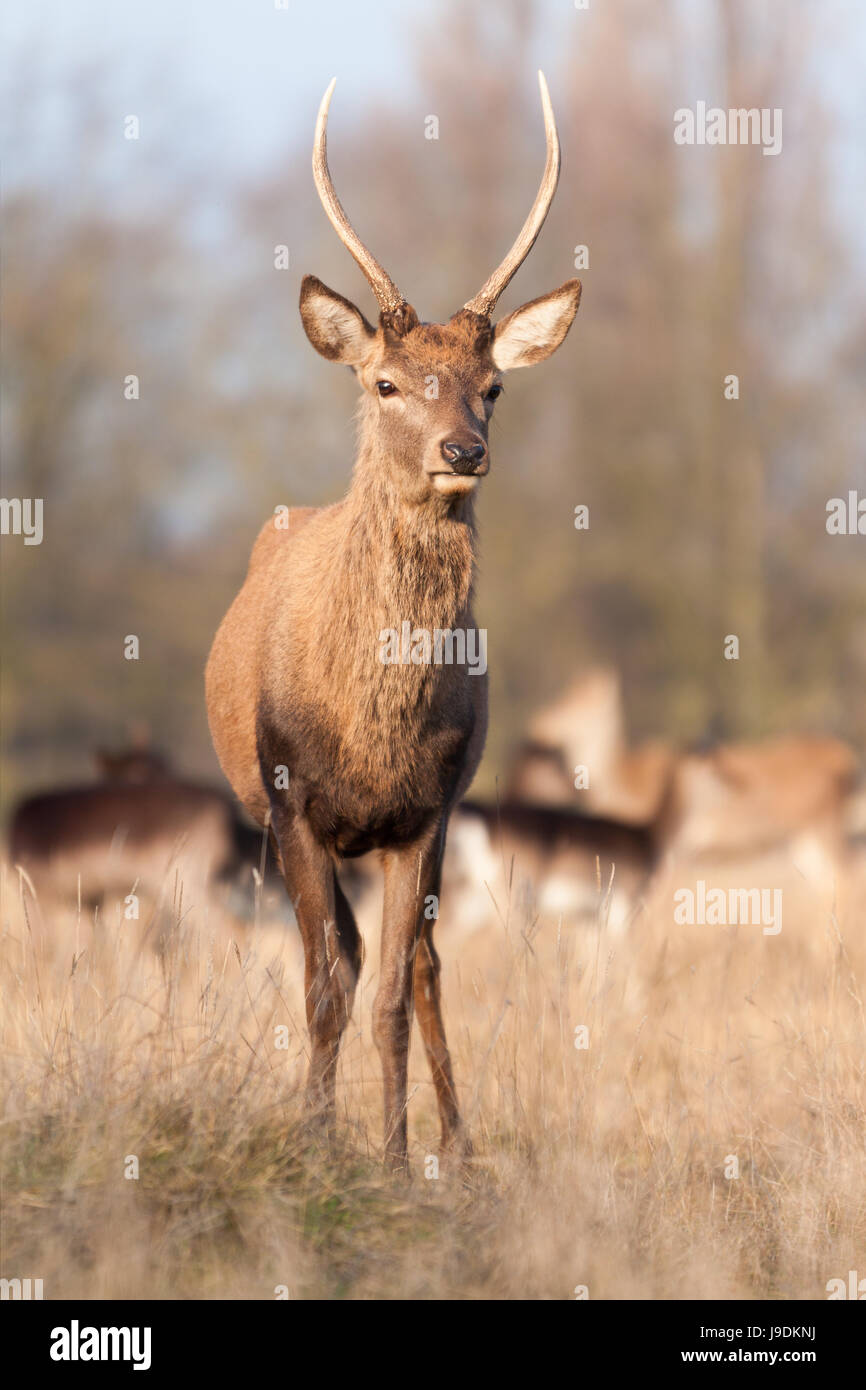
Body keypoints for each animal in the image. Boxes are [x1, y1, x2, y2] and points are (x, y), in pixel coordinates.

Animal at [205, 72, 581, 1173]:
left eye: (493, 385)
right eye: (384, 381)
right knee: (348, 954)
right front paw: (315, 1145)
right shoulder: (290, 798)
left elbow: (390, 999)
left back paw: (457, 1145)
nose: (463, 448)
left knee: (418, 964)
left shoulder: (428, 809)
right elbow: (325, 985)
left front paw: (397, 1160)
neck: (370, 727)